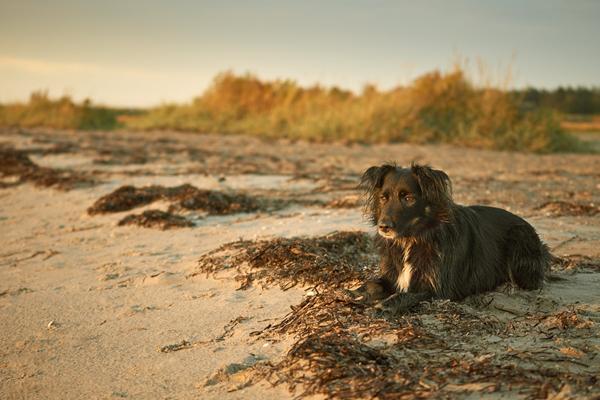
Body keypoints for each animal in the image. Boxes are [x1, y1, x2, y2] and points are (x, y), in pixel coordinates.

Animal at [354, 162, 552, 312]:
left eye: (408, 198)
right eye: (383, 198)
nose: (383, 227)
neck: (412, 238)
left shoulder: (434, 289)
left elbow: (402, 296)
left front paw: (382, 306)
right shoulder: (392, 276)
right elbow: (371, 283)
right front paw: (355, 292)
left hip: (519, 237)